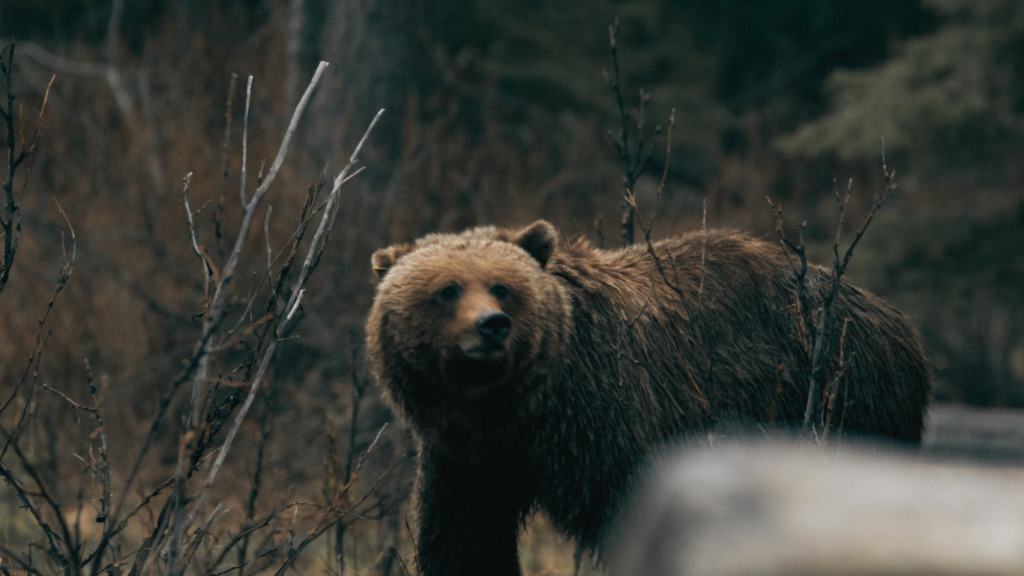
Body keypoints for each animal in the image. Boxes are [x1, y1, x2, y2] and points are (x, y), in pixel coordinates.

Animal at [364, 219, 933, 573]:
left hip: (842, 398)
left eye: (502, 287)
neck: (518, 408)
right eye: (447, 290)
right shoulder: (467, 460)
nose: (492, 326)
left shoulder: (613, 416)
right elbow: (464, 539)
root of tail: (895, 318)